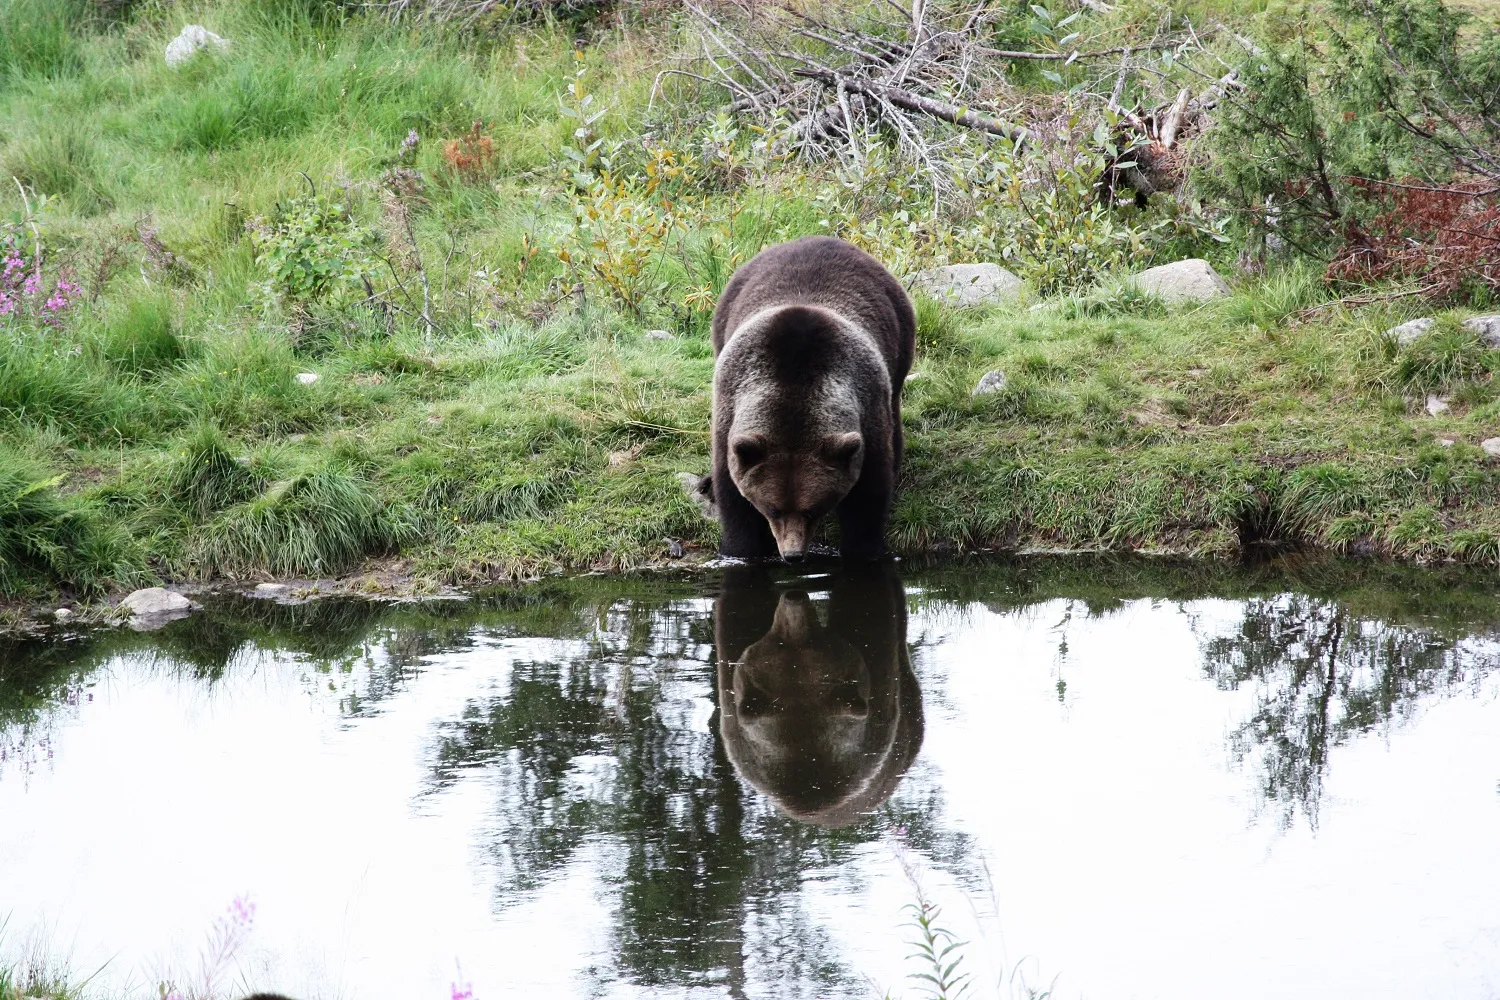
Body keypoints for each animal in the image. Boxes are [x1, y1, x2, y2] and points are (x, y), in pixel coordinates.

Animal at [705, 235, 906, 563]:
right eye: (772, 508)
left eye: (813, 509)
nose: (793, 555)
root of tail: (816, 238)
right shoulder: (729, 415)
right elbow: (733, 498)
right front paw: (740, 550)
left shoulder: (867, 414)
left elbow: (868, 496)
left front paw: (863, 550)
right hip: (723, 317)